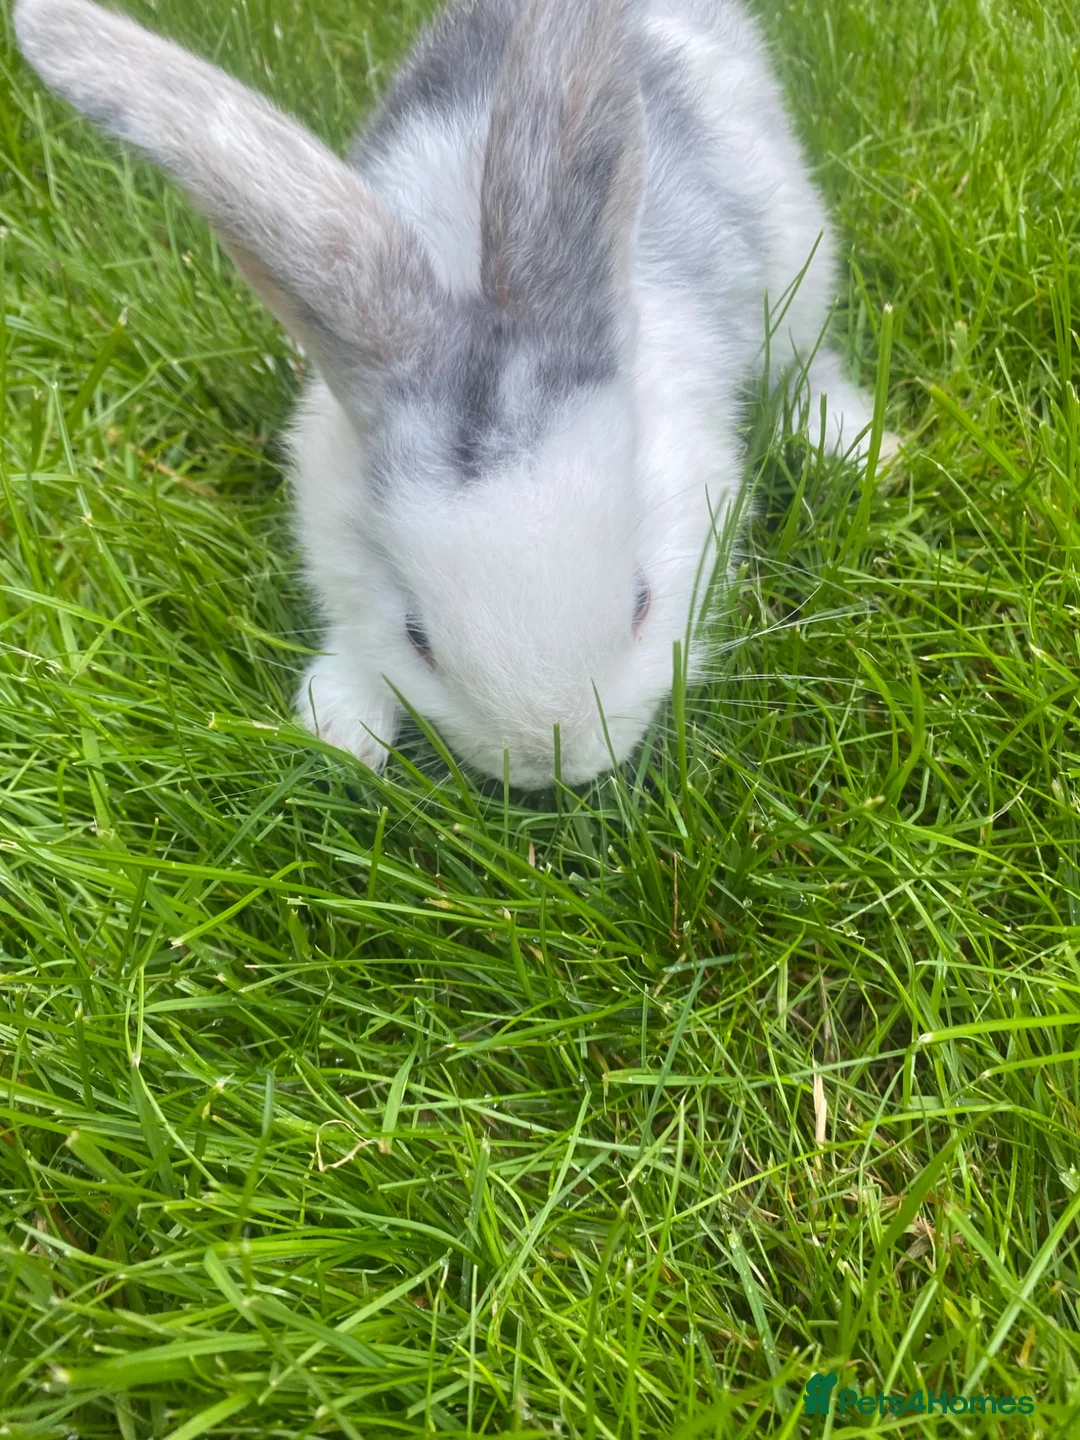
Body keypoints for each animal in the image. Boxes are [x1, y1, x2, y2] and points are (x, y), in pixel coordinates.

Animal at [16, 0, 888, 789]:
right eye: (418, 637)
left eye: (642, 601)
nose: (552, 763)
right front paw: (341, 726)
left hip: (798, 258)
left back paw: (855, 446)